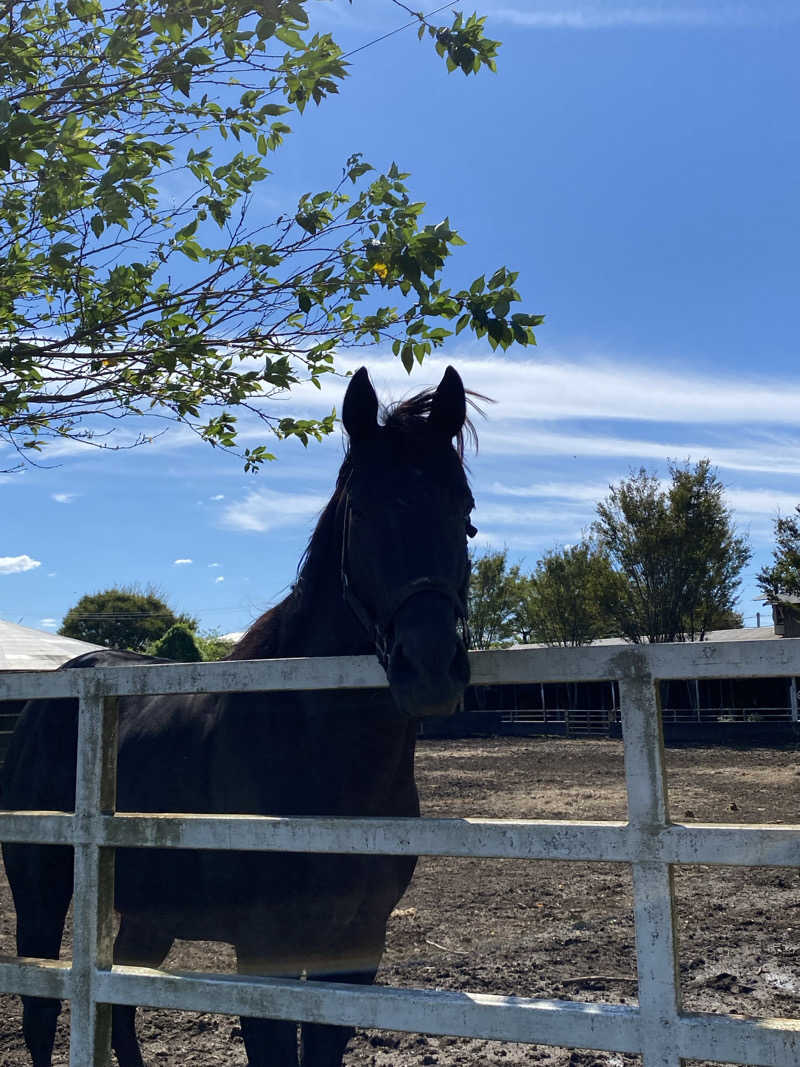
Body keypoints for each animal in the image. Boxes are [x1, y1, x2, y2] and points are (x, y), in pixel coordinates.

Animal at [1, 369, 475, 1067]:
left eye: (464, 513)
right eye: (361, 511)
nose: (431, 666)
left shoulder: (356, 949)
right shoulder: (264, 950)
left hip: (149, 910)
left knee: (122, 1001)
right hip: (40, 888)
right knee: (40, 1013)